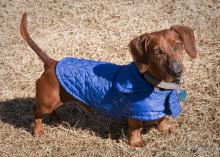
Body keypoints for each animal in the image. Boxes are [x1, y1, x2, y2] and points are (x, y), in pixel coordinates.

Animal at [20, 13, 196, 147]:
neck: (152, 82)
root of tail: (52, 63)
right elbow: (136, 129)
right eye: (157, 51)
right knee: (36, 110)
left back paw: (56, 119)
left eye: (178, 45)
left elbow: (161, 119)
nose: (177, 71)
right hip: (46, 102)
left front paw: (165, 128)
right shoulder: (134, 114)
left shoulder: (157, 108)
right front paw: (136, 143)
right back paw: (38, 130)